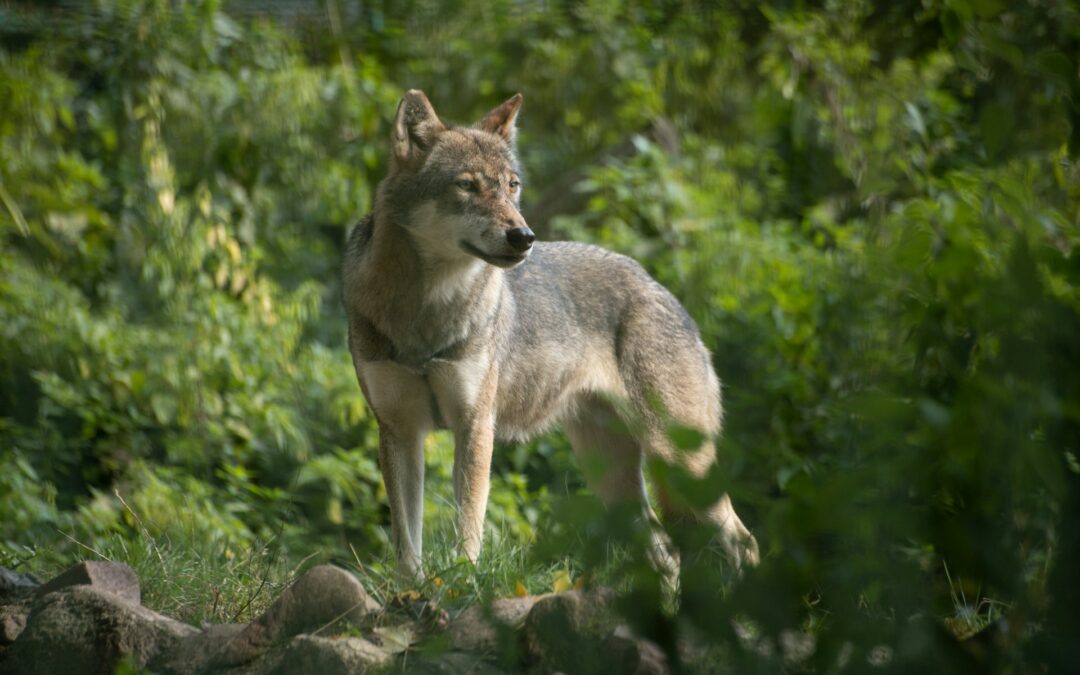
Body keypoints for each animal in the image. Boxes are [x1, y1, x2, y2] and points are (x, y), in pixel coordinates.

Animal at [342, 90, 759, 581]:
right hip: (612, 474)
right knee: (667, 551)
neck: (426, 309)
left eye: (512, 185)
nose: (524, 236)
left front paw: (462, 583)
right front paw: (413, 591)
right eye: (466, 186)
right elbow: (407, 543)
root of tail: (661, 287)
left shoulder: (475, 425)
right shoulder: (399, 431)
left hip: (679, 461)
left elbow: (468, 526)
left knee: (742, 541)